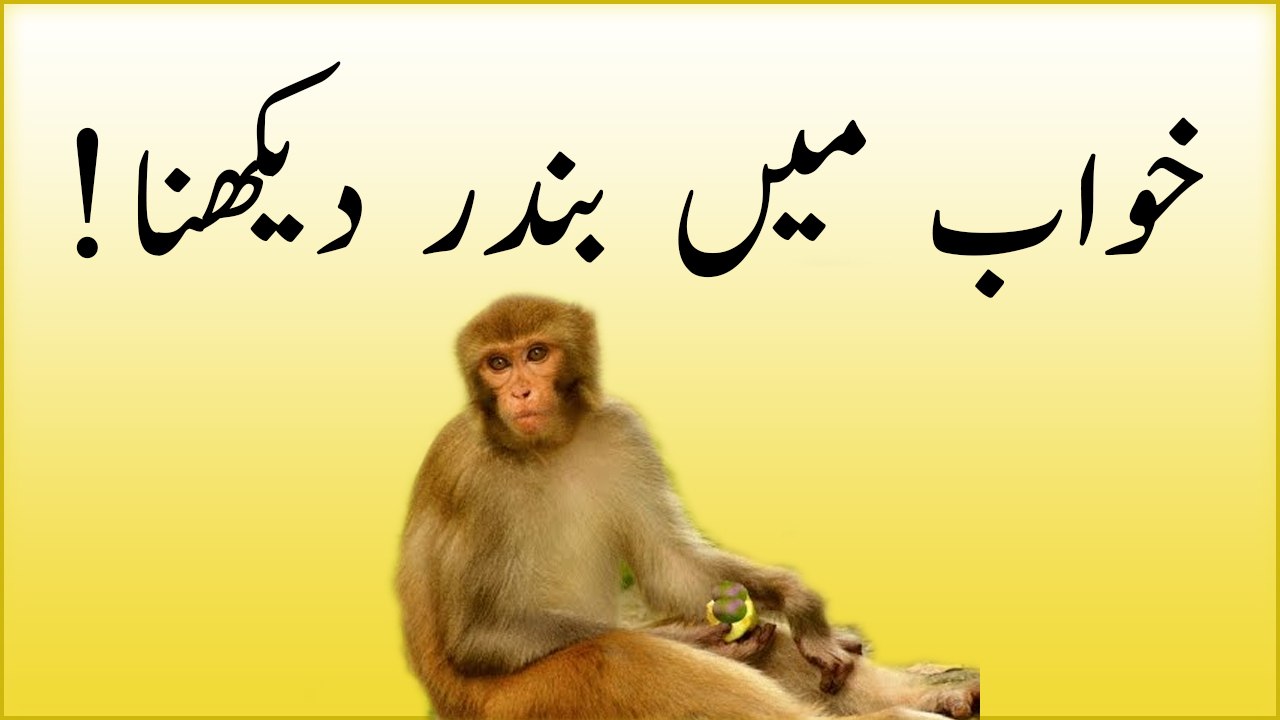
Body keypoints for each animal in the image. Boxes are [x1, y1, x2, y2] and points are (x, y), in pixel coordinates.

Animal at [396, 294, 979, 719]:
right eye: (497, 363)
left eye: (535, 354)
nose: (518, 392)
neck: (546, 448)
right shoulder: (476, 481)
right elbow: (479, 638)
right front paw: (694, 637)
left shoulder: (621, 431)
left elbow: (670, 566)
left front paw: (801, 605)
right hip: (529, 705)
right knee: (621, 657)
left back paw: (934, 699)